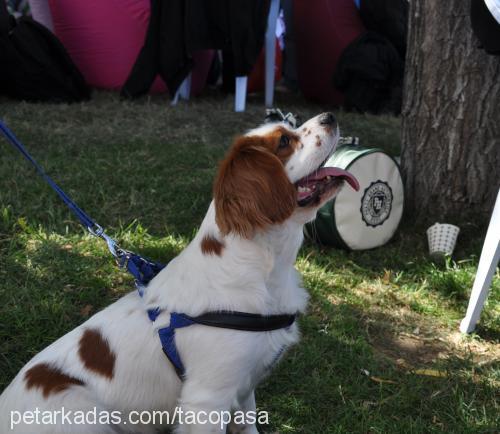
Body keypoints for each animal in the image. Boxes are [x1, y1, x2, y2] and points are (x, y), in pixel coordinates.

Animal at [0, 112, 360, 434]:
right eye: (284, 141)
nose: (330, 116)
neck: (260, 268)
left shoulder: (243, 387)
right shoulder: (206, 400)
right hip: (82, 411)